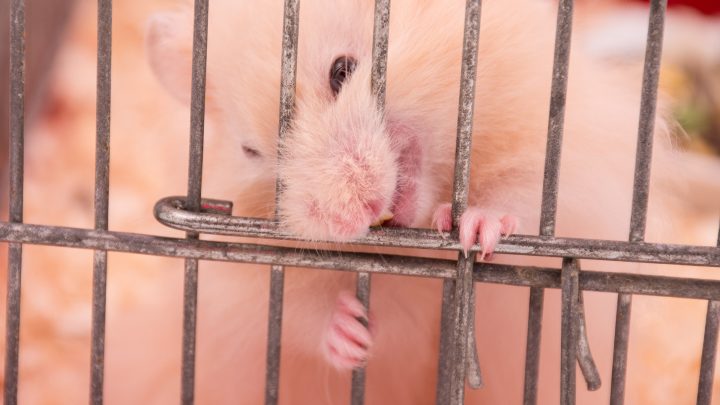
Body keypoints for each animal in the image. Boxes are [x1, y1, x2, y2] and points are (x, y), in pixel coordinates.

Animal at [145, 0, 720, 404]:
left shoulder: (555, 150)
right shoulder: (234, 282)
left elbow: (518, 197)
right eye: (250, 150)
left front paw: (473, 229)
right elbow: (292, 307)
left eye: (342, 70)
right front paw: (355, 336)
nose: (346, 219)